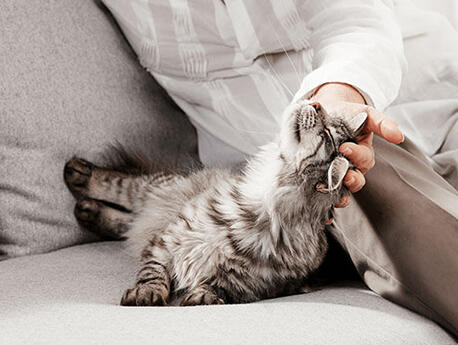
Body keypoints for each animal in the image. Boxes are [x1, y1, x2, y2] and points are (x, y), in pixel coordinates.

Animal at [63, 100, 364, 306]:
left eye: (327, 134)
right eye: (324, 116)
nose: (316, 102)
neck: (261, 210)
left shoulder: (255, 283)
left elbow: (221, 288)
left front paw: (201, 297)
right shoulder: (165, 241)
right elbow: (152, 271)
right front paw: (146, 292)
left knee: (127, 220)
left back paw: (88, 210)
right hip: (159, 189)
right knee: (120, 188)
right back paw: (79, 175)